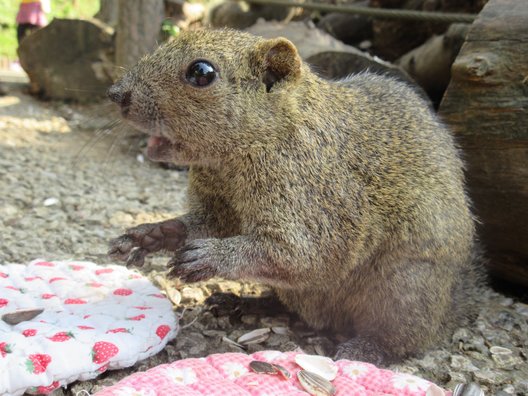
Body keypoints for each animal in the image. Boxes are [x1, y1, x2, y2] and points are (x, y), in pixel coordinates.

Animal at [107, 28, 482, 366]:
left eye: (202, 73)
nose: (116, 93)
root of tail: (449, 308)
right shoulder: (218, 205)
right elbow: (201, 226)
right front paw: (150, 234)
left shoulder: (317, 192)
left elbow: (306, 254)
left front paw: (212, 256)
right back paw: (246, 303)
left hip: (404, 289)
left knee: (402, 337)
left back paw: (367, 349)